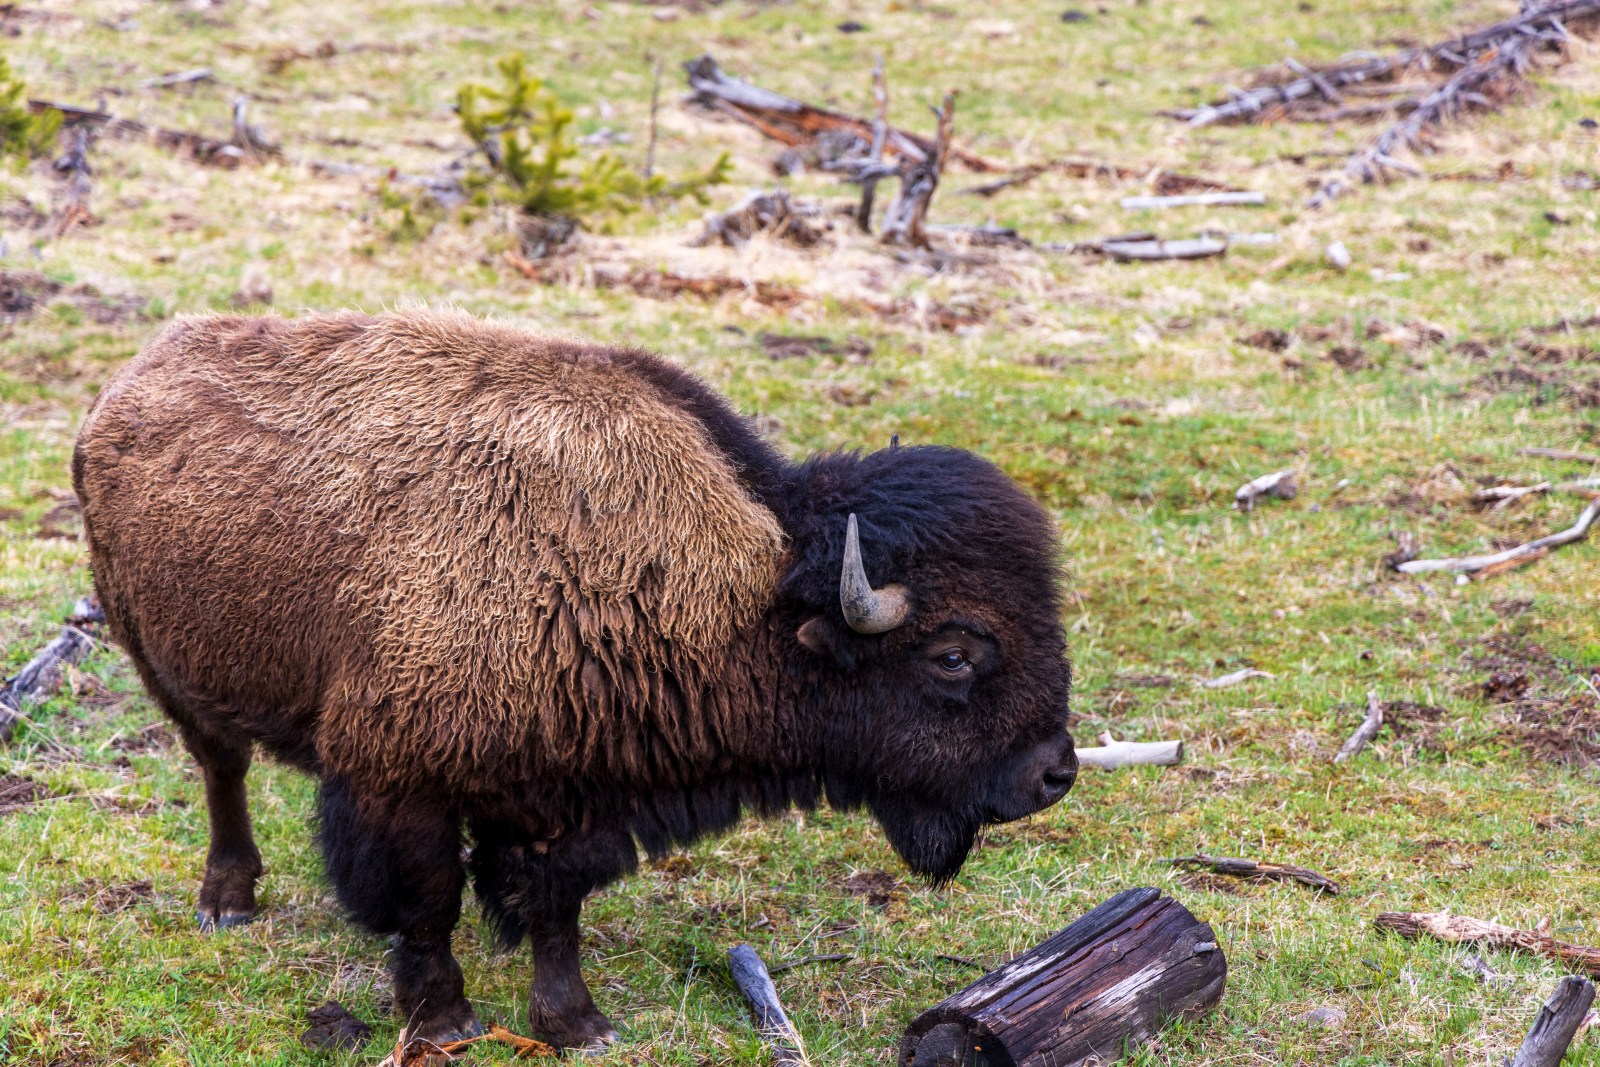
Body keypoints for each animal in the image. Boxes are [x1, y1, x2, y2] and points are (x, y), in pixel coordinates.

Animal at [73, 309, 1077, 1049]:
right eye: (954, 653)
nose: (1054, 772)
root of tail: (128, 385)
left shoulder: (566, 796)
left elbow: (555, 907)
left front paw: (576, 1023)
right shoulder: (400, 783)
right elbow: (427, 903)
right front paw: (444, 1022)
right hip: (165, 665)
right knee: (222, 770)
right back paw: (226, 902)